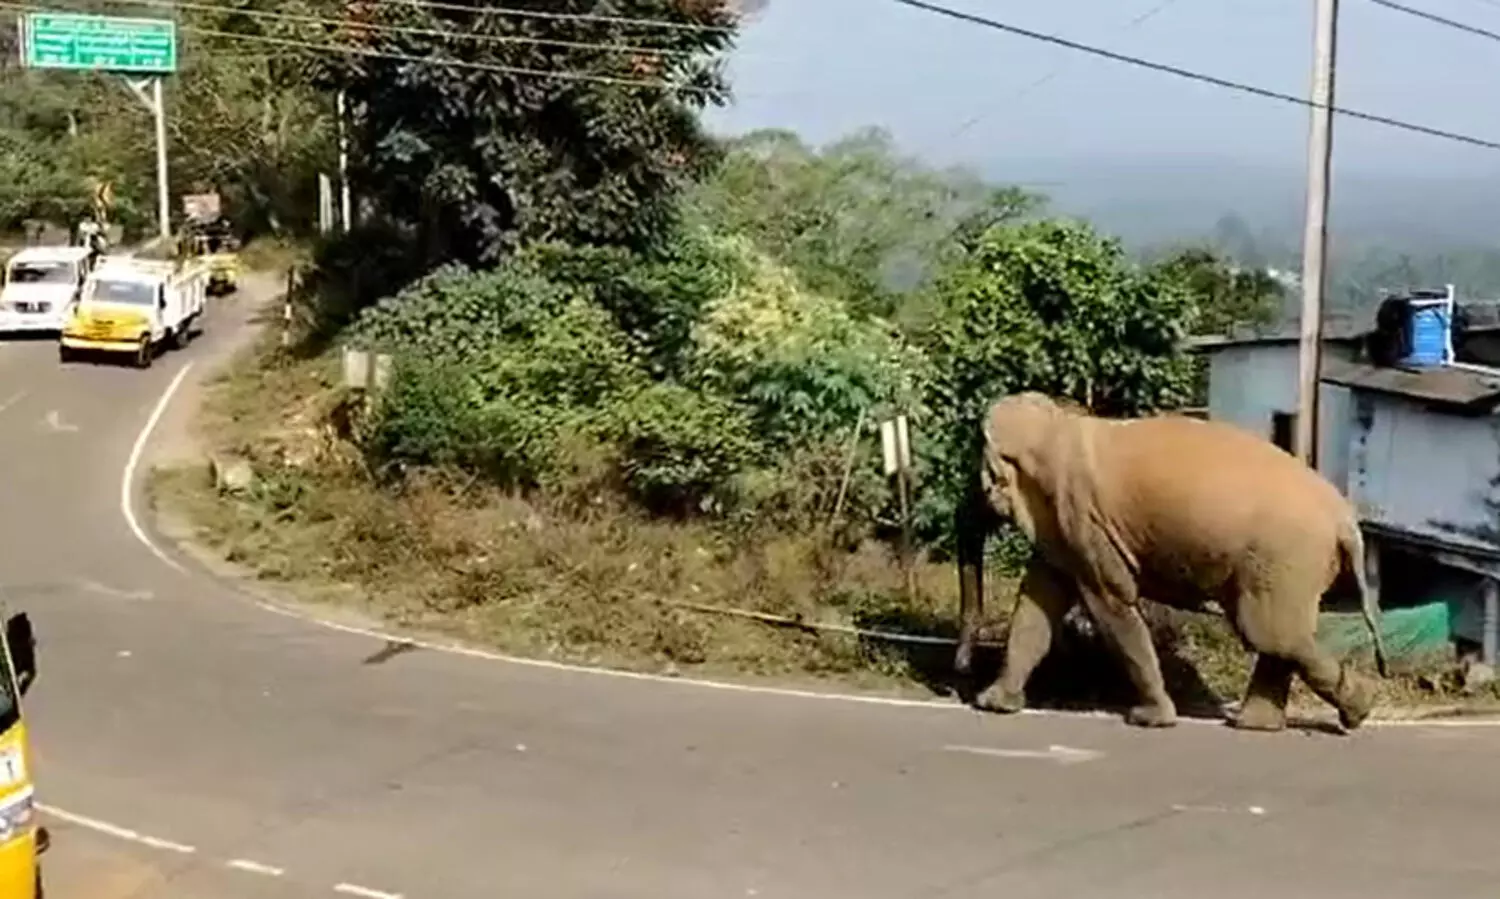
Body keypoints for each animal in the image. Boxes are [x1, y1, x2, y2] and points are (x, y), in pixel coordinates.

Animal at [952, 392, 1389, 732]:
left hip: (1284, 559)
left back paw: (1357, 708)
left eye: (980, 475)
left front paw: (1150, 719)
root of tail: (1346, 520)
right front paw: (994, 704)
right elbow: (1038, 601)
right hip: (1288, 566)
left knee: (1271, 634)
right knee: (1277, 637)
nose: (961, 671)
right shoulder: (1064, 528)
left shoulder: (1083, 520)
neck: (1060, 425)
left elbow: (1111, 603)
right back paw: (1261, 724)